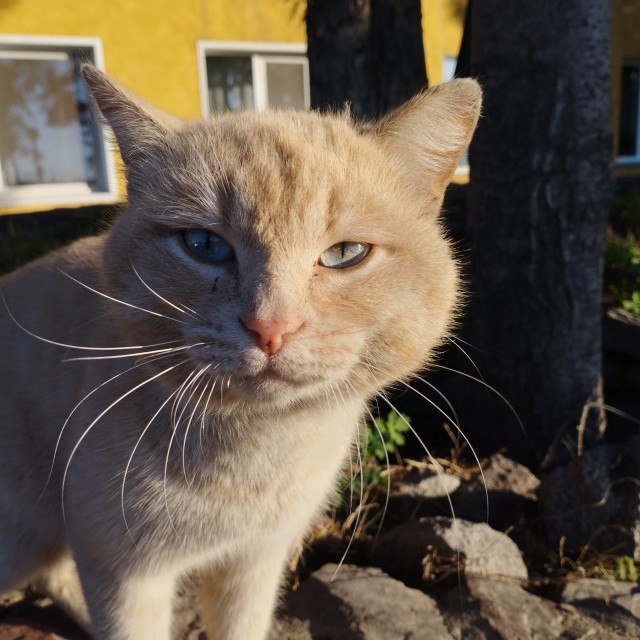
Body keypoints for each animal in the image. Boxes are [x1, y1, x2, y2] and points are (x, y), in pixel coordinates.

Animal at [0, 64, 481, 640]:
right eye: (204, 245)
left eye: (345, 254)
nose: (270, 327)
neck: (257, 457)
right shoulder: (122, 574)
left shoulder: (255, 563)